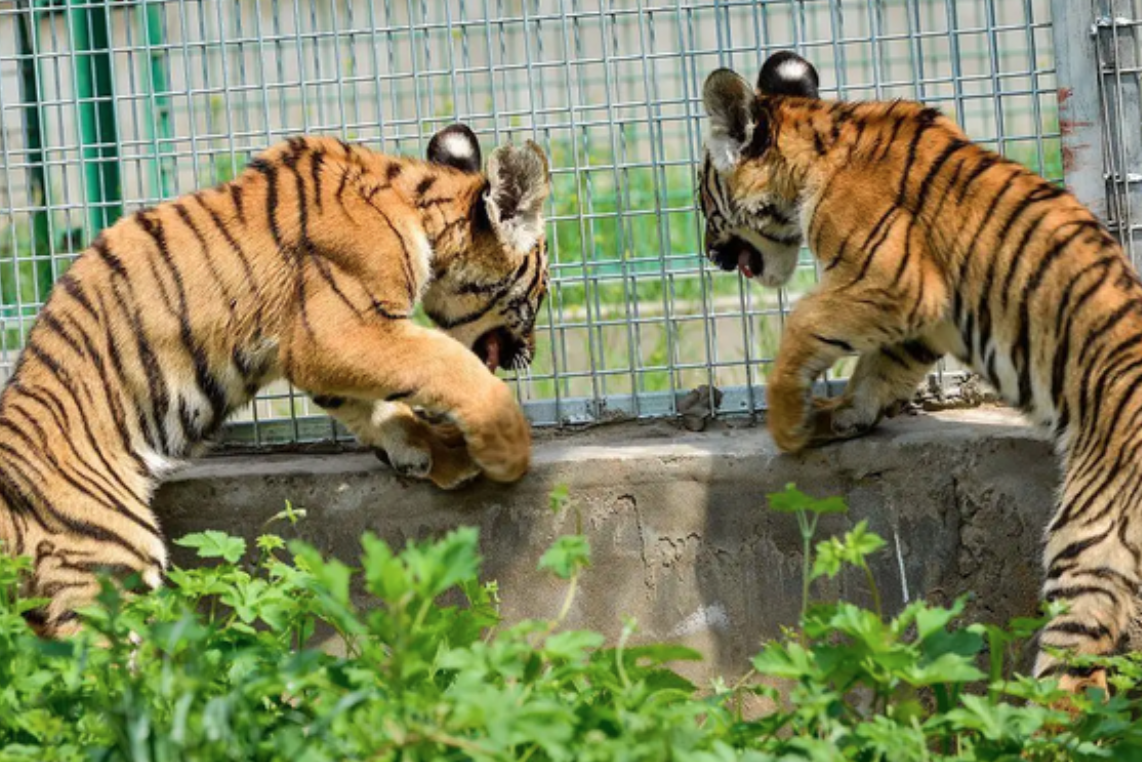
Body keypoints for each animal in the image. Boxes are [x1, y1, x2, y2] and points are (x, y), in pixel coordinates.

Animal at [0, 123, 552, 639]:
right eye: (542, 287)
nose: (530, 353)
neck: (419, 206)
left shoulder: (320, 348)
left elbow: (376, 407)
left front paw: (441, 453)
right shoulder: (335, 331)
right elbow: (442, 362)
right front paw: (505, 449)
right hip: (108, 565)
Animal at [698, 53, 1137, 694]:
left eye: (703, 199)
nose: (708, 255)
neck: (819, 144)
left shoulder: (895, 278)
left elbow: (804, 323)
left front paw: (789, 424)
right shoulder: (918, 319)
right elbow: (875, 372)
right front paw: (837, 418)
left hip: (1091, 537)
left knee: (1074, 678)